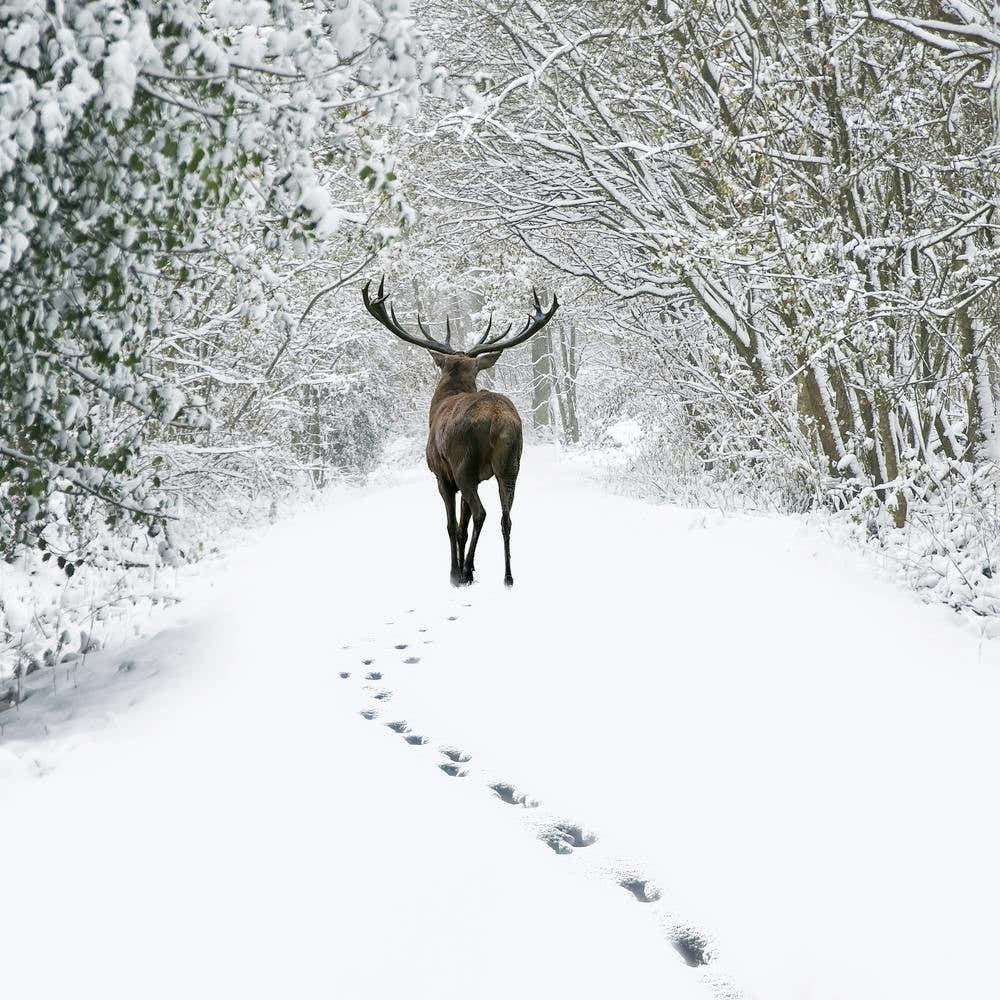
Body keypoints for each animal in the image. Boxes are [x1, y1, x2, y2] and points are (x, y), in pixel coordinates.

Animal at [361, 278, 559, 588]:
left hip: (463, 463)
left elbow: (452, 524)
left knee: (481, 513)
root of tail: (499, 421)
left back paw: (463, 572)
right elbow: (463, 527)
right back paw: (507, 576)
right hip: (511, 465)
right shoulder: (478, 477)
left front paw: (455, 571)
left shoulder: (443, 475)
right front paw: (472, 567)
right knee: (506, 517)